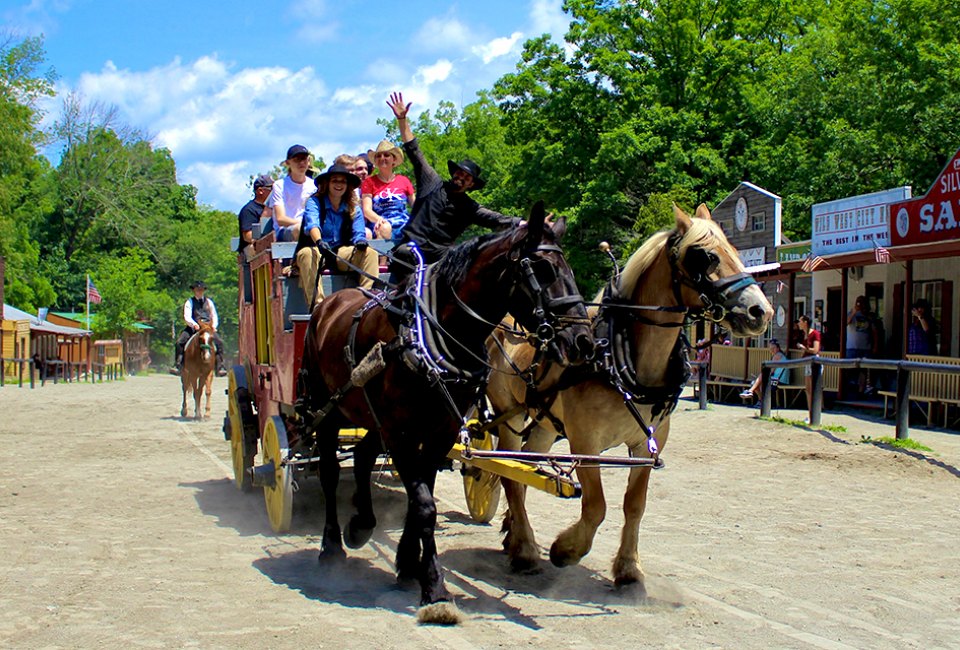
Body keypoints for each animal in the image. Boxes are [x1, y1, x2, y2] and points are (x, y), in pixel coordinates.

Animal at [300, 204, 592, 624]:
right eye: (544, 269)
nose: (583, 341)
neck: (434, 331)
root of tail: (329, 302)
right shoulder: (403, 431)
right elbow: (423, 505)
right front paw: (435, 588)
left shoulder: (440, 429)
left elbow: (420, 496)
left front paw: (409, 565)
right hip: (329, 409)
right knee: (327, 470)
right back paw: (331, 547)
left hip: (372, 414)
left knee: (363, 455)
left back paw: (361, 524)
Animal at [488, 206, 772, 588]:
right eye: (705, 256)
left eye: (735, 252)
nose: (761, 311)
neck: (619, 356)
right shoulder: (586, 443)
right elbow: (596, 506)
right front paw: (567, 549)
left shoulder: (648, 444)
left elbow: (634, 505)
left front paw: (628, 567)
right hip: (510, 414)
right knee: (508, 473)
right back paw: (525, 549)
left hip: (545, 423)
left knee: (524, 468)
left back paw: (513, 530)